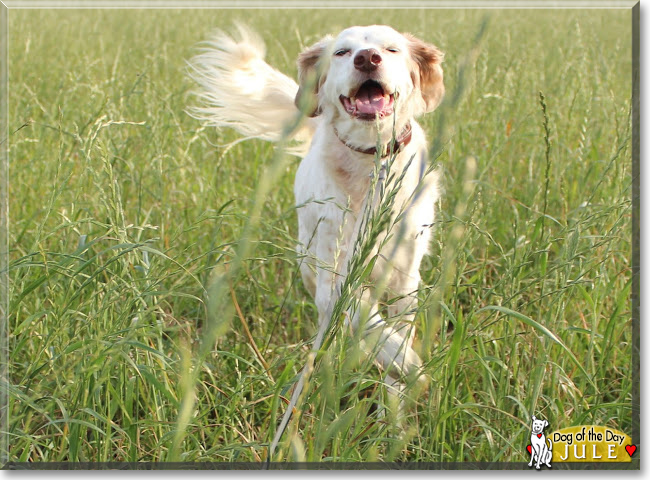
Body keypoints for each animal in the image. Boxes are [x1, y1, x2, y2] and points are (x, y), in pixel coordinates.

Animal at [185, 24, 442, 446]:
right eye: (341, 52)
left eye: (391, 49)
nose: (367, 58)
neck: (369, 166)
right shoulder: (333, 278)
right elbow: (367, 322)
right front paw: (407, 364)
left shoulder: (406, 281)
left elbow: (394, 338)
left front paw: (395, 408)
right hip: (307, 261)